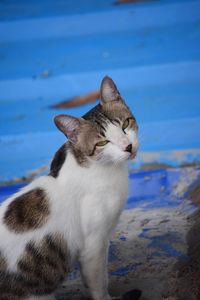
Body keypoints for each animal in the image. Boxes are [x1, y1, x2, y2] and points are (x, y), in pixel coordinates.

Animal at [0, 77, 138, 300]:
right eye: (102, 142)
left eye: (125, 124)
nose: (128, 147)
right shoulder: (93, 244)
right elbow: (98, 281)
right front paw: (105, 296)